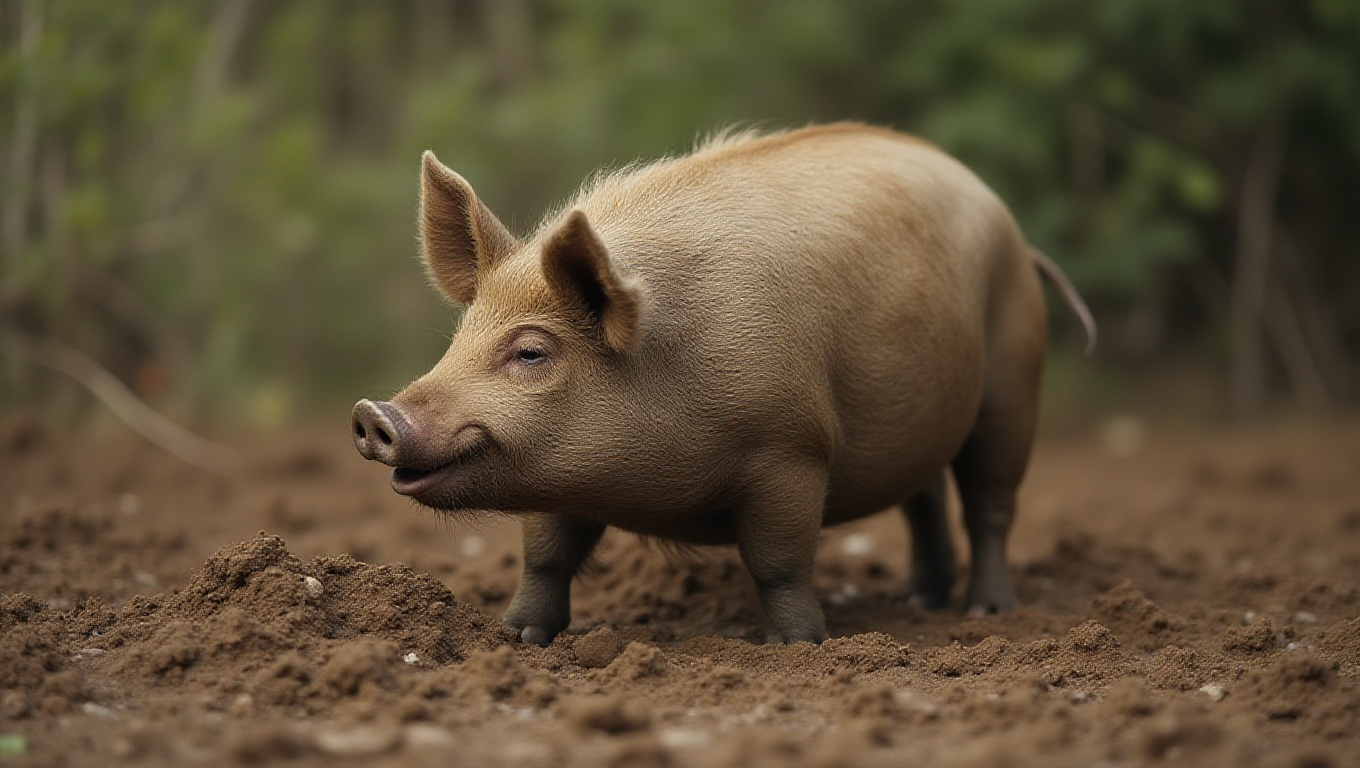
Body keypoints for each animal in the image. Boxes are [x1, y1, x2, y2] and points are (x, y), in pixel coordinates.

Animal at [351, 123, 1095, 646]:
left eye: (531, 352)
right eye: (459, 336)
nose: (373, 412)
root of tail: (1014, 232)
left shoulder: (793, 451)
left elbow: (778, 561)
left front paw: (797, 646)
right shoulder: (551, 480)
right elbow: (546, 556)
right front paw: (518, 637)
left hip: (1014, 376)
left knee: (989, 502)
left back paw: (984, 611)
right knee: (925, 499)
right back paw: (920, 602)